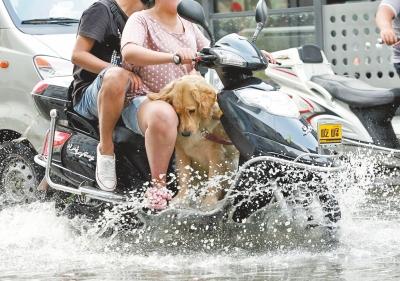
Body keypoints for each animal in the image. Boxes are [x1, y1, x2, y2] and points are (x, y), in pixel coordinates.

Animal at [148, 74, 239, 208]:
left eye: (191, 111)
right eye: (177, 113)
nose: (185, 133)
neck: (199, 130)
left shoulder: (216, 155)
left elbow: (213, 179)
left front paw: (209, 201)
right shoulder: (181, 153)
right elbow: (185, 177)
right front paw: (182, 198)